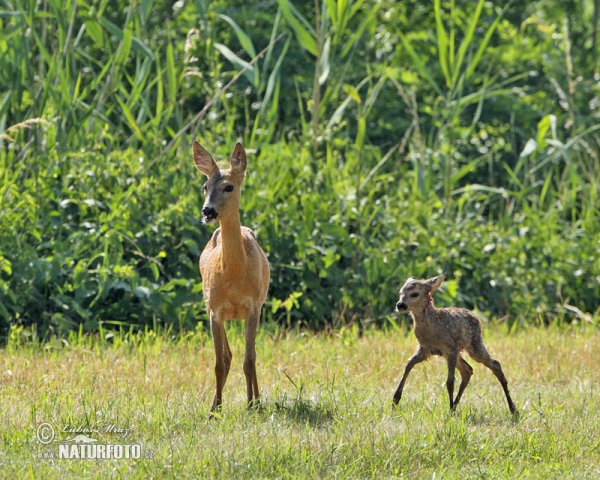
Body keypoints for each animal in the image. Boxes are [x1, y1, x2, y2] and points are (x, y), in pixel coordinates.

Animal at [192, 140, 270, 412]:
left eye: (229, 186)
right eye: (205, 186)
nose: (207, 210)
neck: (235, 278)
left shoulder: (254, 306)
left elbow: (250, 360)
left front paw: (252, 403)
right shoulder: (215, 310)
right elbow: (220, 362)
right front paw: (214, 410)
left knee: (250, 356)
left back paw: (256, 400)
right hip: (211, 307)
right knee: (228, 356)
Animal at [394, 274, 516, 416]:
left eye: (414, 294)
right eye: (400, 292)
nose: (400, 305)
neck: (433, 325)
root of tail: (477, 318)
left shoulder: (450, 347)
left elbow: (450, 381)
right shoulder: (425, 349)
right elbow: (408, 364)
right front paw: (395, 400)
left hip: (474, 344)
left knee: (495, 364)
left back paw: (513, 409)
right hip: (455, 353)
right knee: (468, 370)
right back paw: (454, 408)